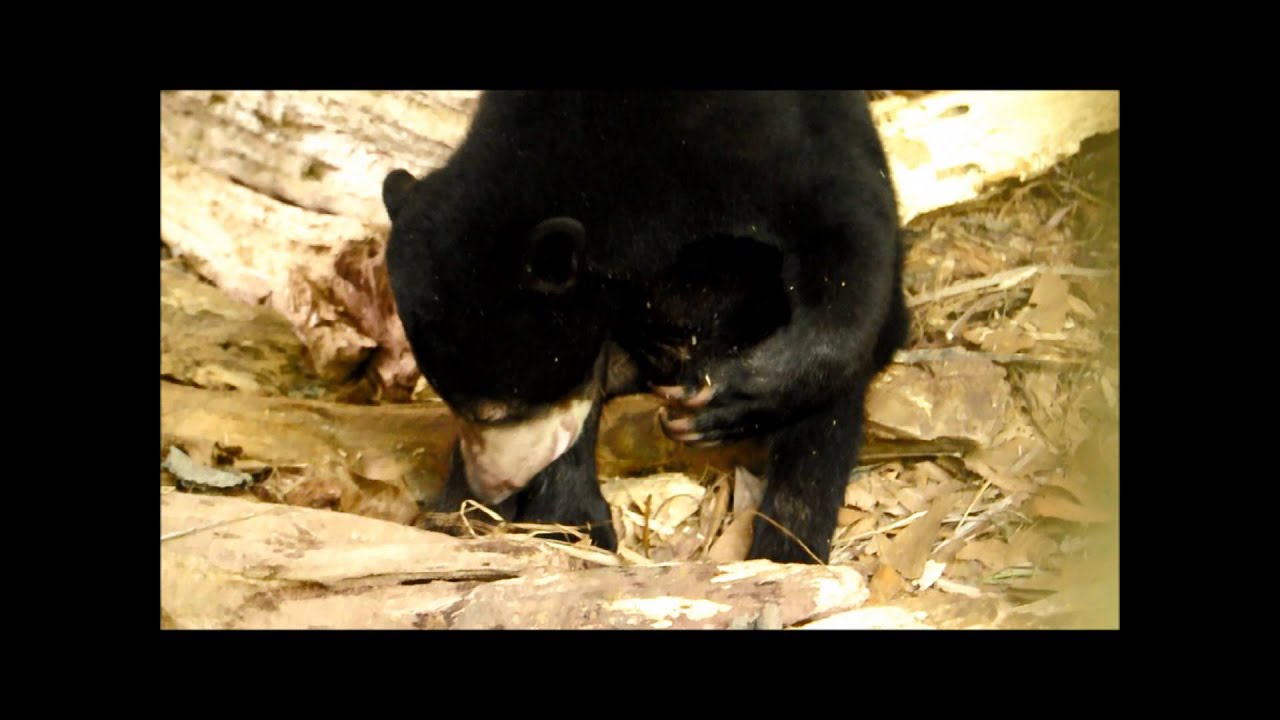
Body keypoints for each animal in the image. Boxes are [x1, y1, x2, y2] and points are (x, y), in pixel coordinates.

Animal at [383, 91, 908, 564]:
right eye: (453, 403)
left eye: (499, 409)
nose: (490, 483)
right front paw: (565, 518)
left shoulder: (765, 146)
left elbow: (850, 234)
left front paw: (723, 401)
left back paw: (787, 548)